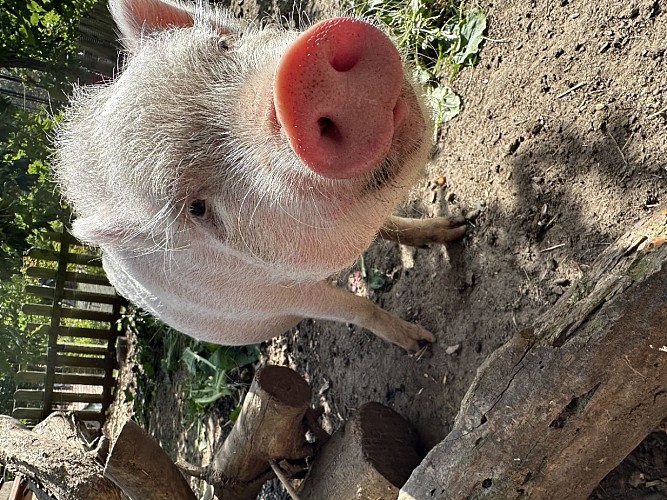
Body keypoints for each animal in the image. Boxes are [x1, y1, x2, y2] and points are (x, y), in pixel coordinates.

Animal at [53, 0, 467, 352]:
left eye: (224, 45)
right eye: (197, 208)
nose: (296, 84)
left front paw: (459, 227)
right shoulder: (279, 295)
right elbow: (353, 308)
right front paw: (422, 342)